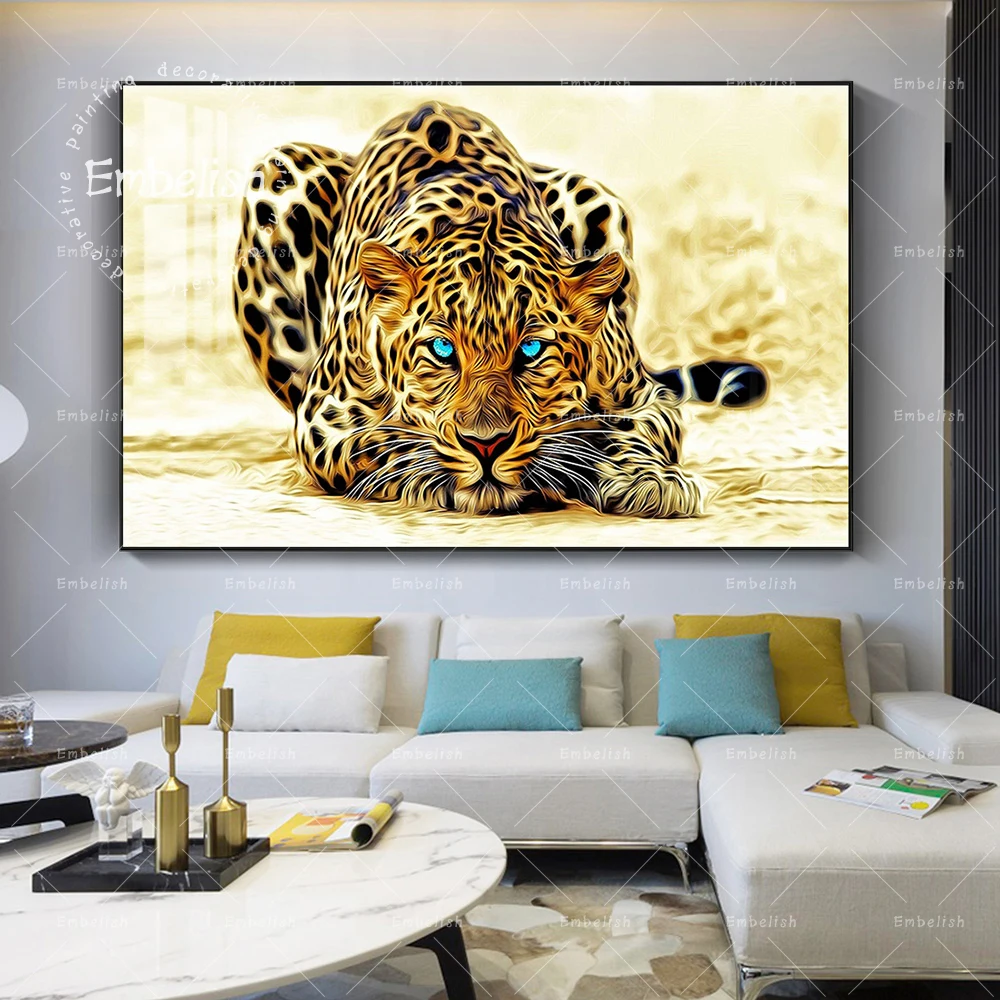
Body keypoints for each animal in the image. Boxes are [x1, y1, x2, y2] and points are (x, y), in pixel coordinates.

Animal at [233, 101, 765, 519]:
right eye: (442, 350)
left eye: (531, 351)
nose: (485, 445)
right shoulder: (325, 416)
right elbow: (381, 444)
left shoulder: (643, 396)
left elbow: (634, 429)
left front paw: (649, 480)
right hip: (278, 175)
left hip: (594, 195)